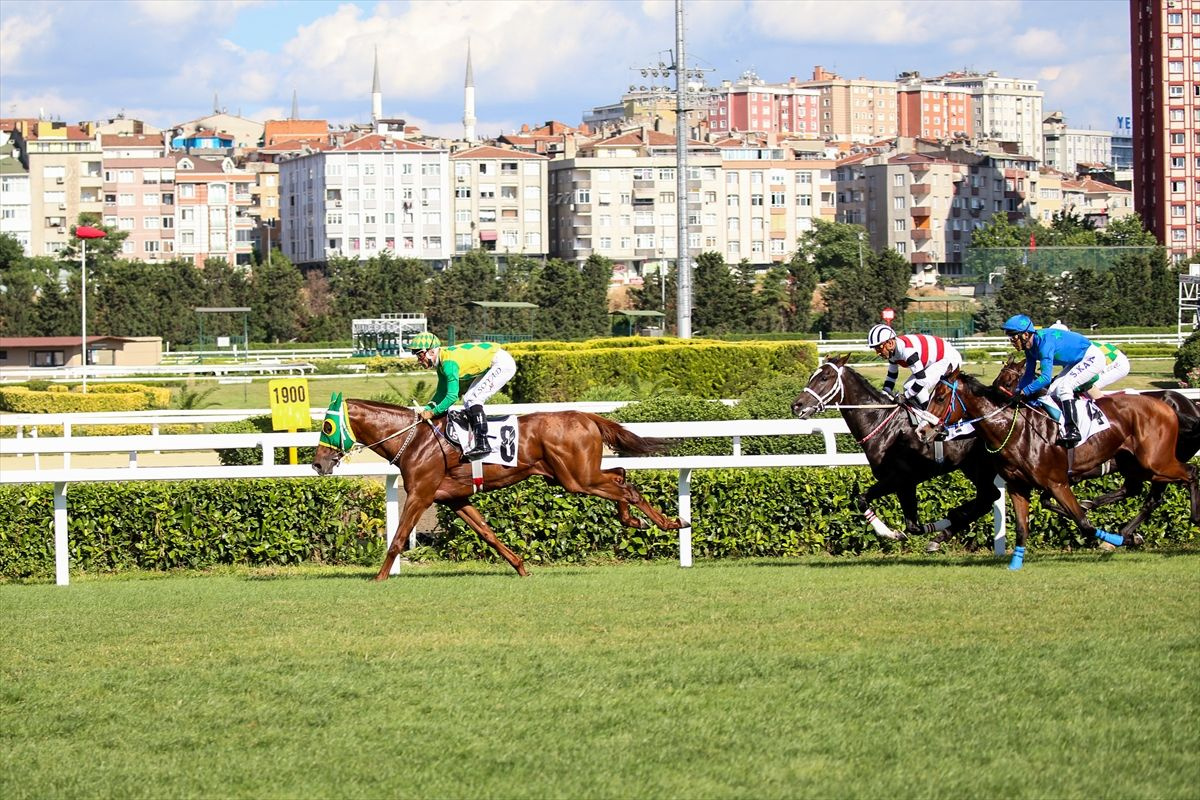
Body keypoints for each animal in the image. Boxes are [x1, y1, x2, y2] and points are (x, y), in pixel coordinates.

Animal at [309, 400, 686, 582]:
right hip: (572, 475)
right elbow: (488, 534)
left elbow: (398, 538)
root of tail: (586, 416)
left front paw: (379, 577)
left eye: (327, 427)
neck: (415, 439)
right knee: (621, 475)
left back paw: (667, 523)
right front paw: (521, 567)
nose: (317, 463)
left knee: (626, 488)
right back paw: (639, 521)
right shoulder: (455, 498)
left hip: (577, 478)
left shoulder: (420, 494)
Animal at [912, 367, 1195, 568]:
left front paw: (1120, 539)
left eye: (940, 397)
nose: (922, 431)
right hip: (1137, 465)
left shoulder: (1058, 482)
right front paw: (1015, 563)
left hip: (1156, 462)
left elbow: (1083, 523)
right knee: (1143, 489)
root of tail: (1169, 406)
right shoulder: (1018, 487)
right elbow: (1023, 528)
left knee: (1189, 474)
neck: (1016, 430)